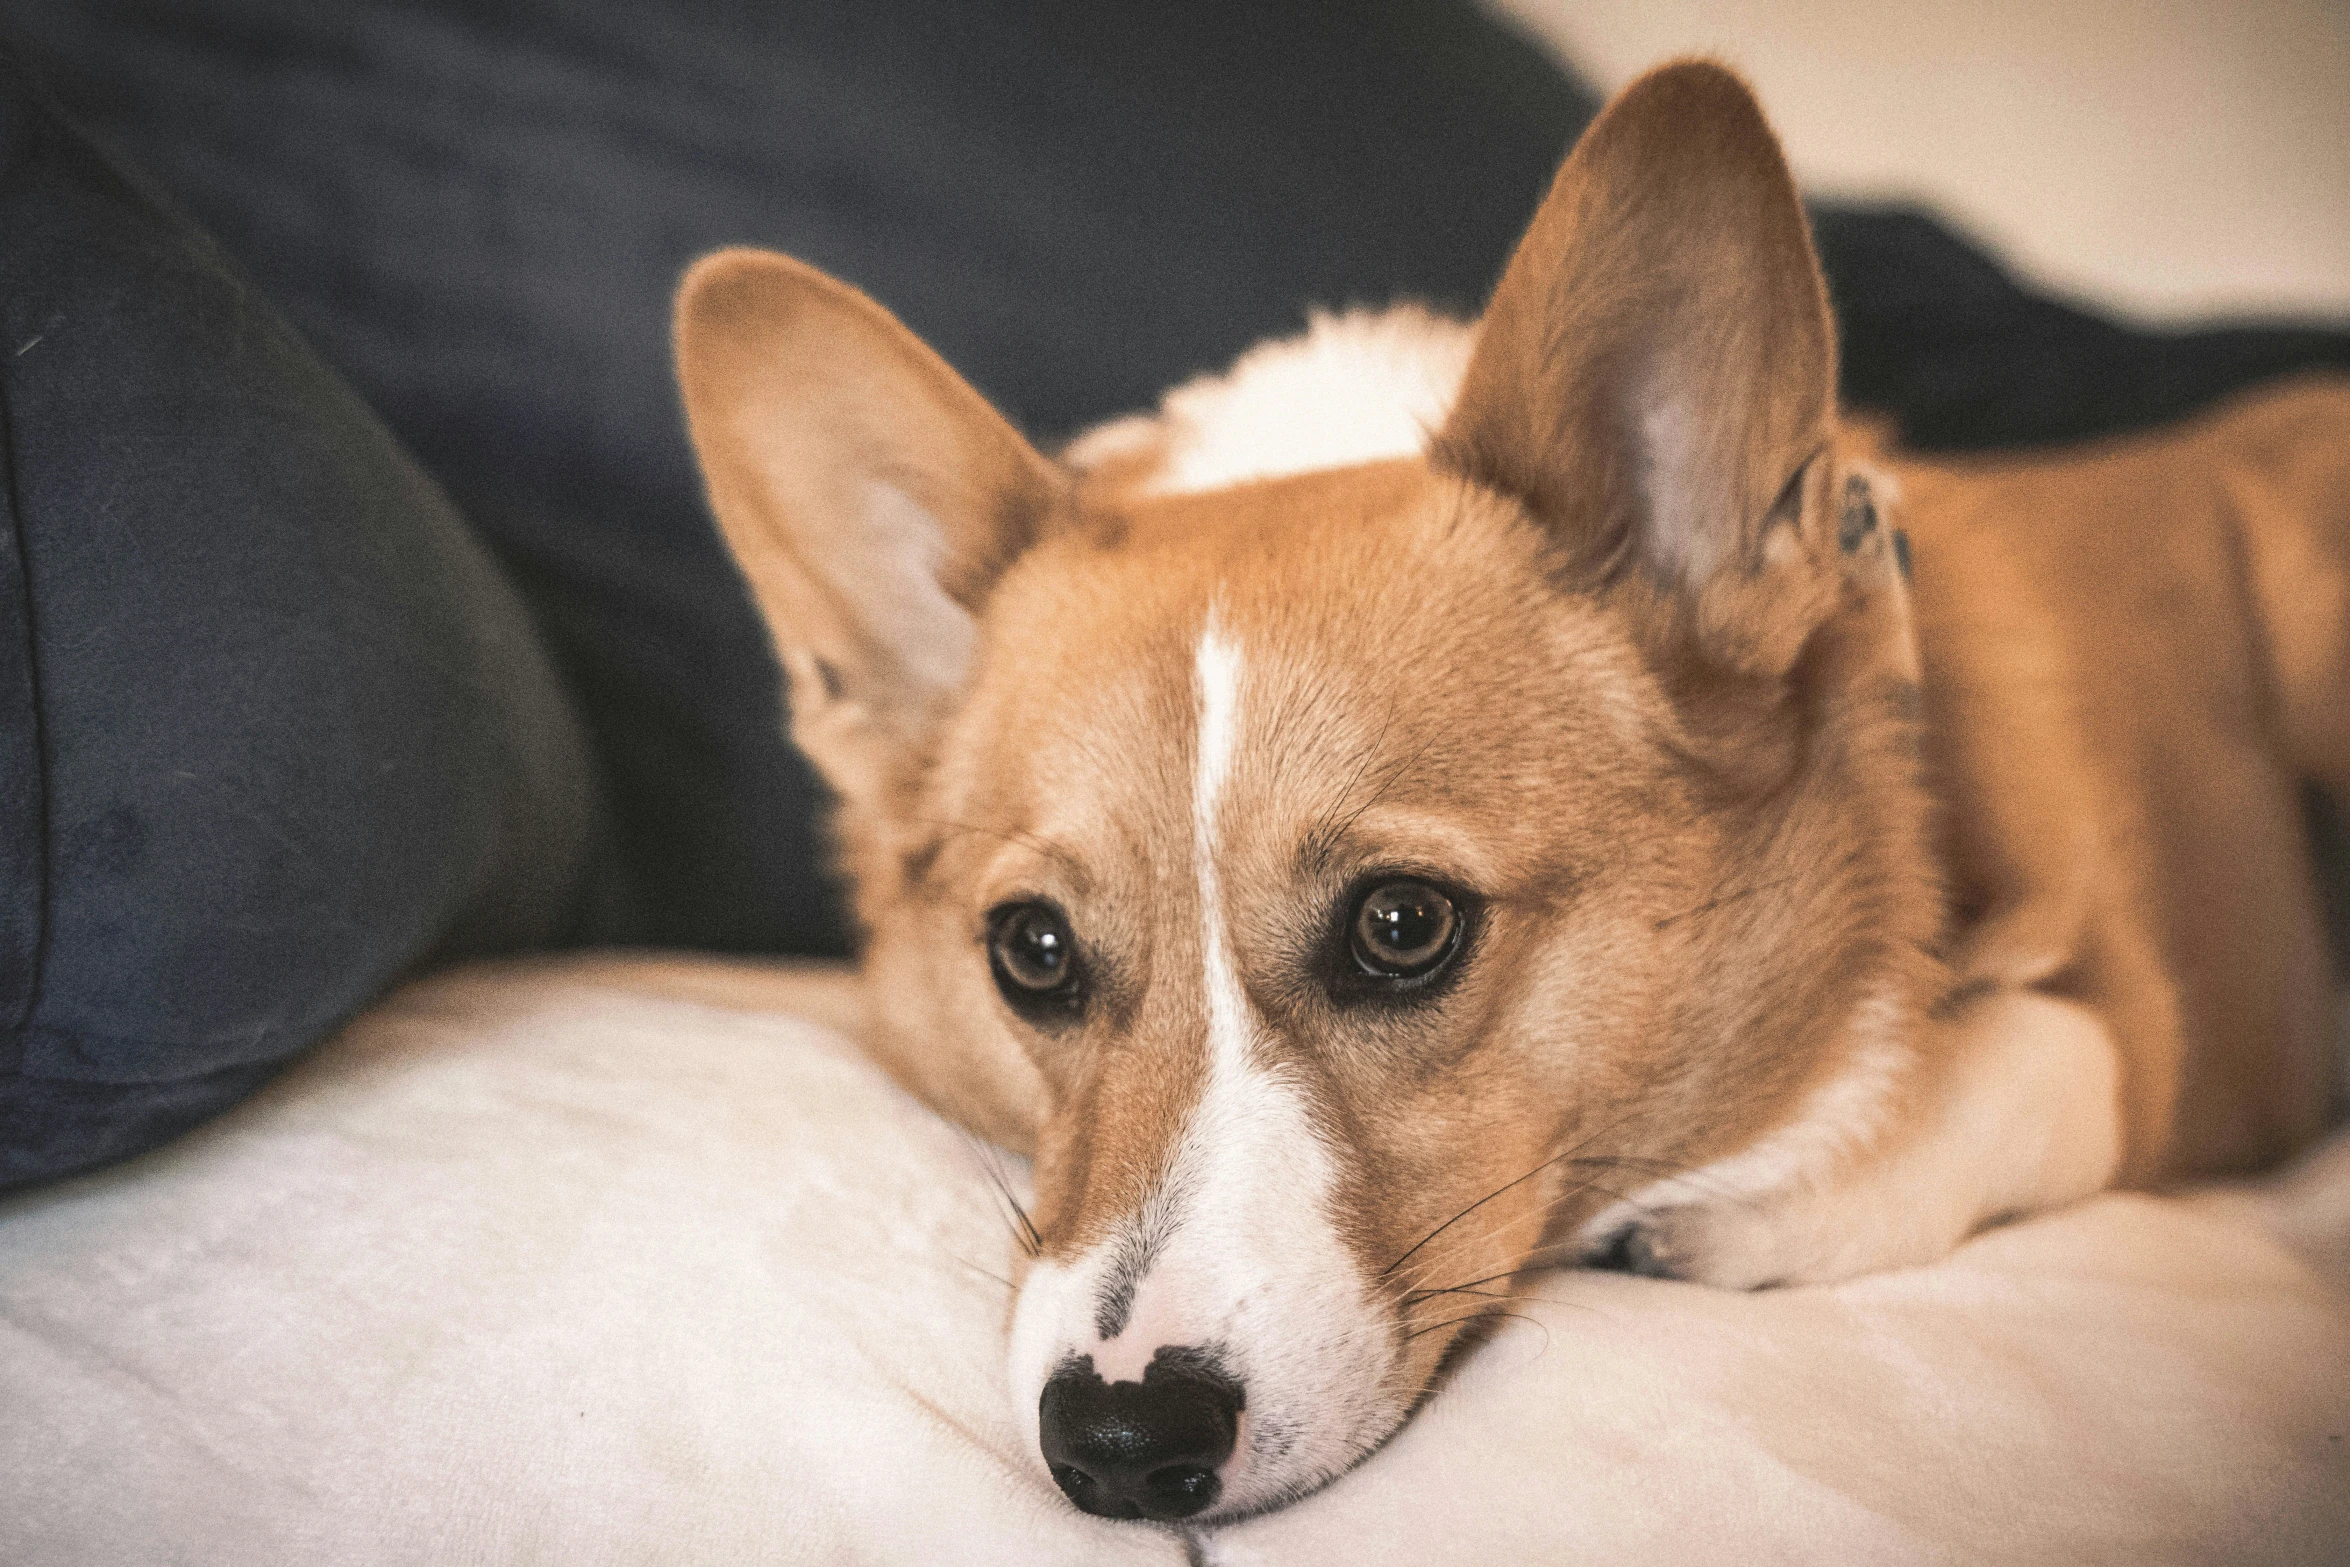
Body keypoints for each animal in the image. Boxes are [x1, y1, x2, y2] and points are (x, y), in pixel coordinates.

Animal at [672, 67, 2340, 1522]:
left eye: (1402, 924)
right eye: (1028, 949)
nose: (1120, 1446)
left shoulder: (2152, 1018)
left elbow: (2049, 1057)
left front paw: (1757, 1208)